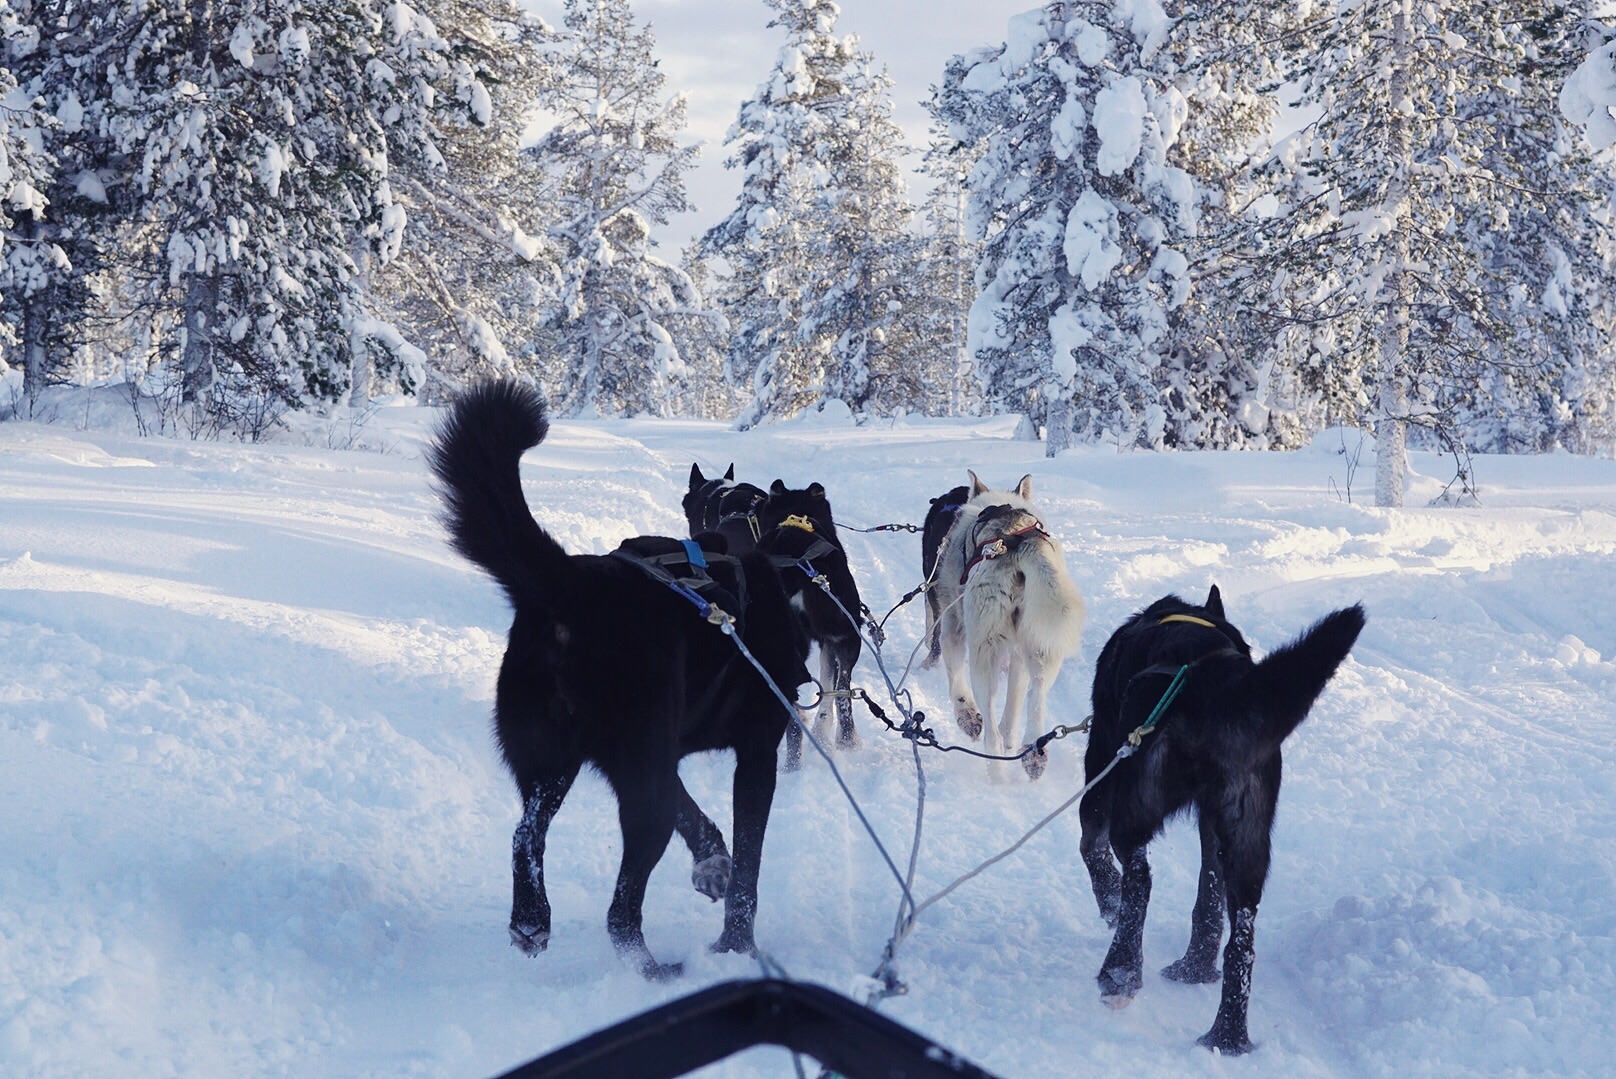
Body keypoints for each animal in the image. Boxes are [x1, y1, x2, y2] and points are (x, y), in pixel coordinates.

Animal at [429, 382, 808, 982]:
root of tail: (571, 586)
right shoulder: (752, 756)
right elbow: (749, 865)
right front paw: (737, 945)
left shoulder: (652, 760)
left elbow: (697, 819)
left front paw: (710, 864)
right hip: (635, 783)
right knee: (620, 913)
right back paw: (652, 969)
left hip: (550, 761)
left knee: (525, 835)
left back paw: (531, 921)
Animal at [937, 471, 1085, 775]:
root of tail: (1020, 544)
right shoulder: (1018, 653)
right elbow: (1015, 702)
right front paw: (1011, 735)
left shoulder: (952, 626)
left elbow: (956, 682)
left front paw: (966, 717)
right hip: (1041, 646)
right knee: (1036, 694)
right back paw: (1033, 751)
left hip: (984, 653)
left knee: (991, 730)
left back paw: (995, 772)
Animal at [1079, 584, 1370, 1046]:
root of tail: (1211, 683)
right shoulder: (1213, 826)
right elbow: (1209, 893)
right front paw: (1198, 966)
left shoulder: (1102, 761)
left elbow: (1090, 844)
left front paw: (1108, 899)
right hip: (1247, 840)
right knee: (1242, 944)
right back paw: (1226, 1033)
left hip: (1134, 801)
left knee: (1139, 879)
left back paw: (1121, 973)